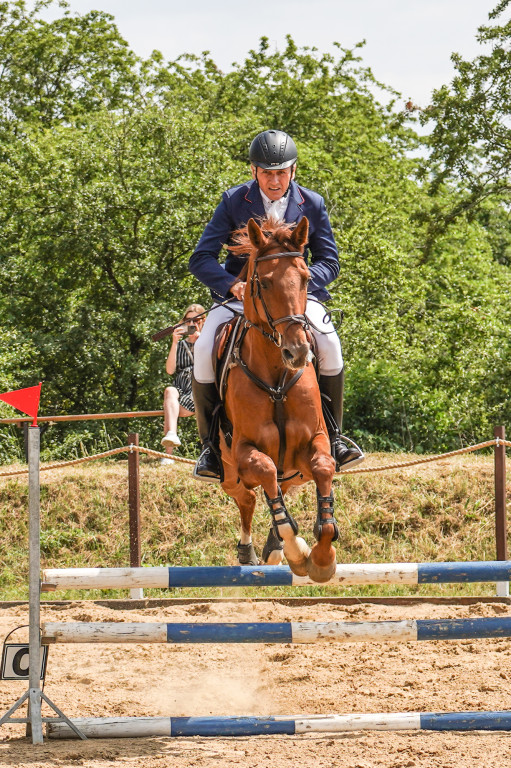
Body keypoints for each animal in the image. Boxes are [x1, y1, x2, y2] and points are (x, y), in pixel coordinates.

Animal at [217, 216, 340, 584]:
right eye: (265, 283)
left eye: (305, 278)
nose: (297, 352)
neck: (276, 377)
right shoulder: (245, 451)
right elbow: (267, 470)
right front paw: (297, 550)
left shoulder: (314, 441)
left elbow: (324, 468)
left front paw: (322, 559)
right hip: (228, 471)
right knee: (246, 497)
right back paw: (250, 551)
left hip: (294, 471)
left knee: (278, 490)